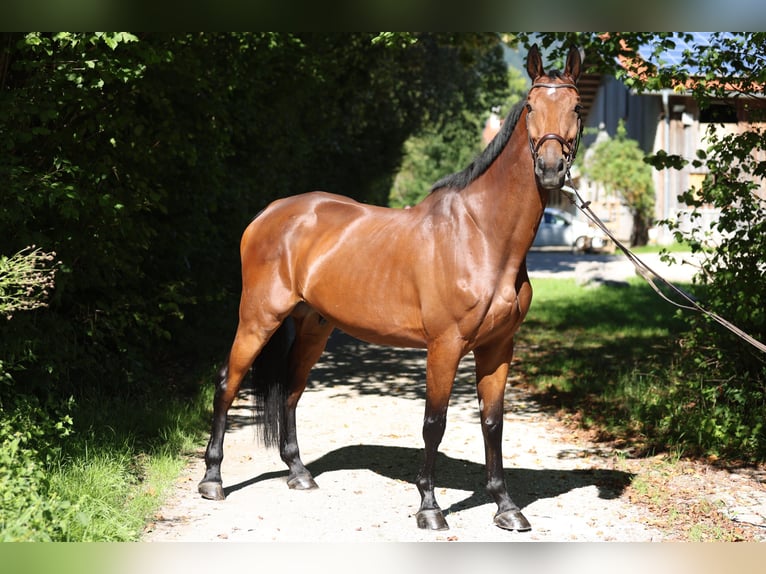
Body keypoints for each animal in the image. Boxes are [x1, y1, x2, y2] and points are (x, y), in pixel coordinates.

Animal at [198, 44, 583, 532]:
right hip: (258, 317)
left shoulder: (499, 346)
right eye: (531, 107)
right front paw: (429, 508)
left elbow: (492, 422)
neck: (481, 235)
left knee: (291, 389)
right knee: (226, 382)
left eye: (576, 107)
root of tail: (270, 213)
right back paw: (212, 480)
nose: (550, 169)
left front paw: (506, 507)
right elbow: (434, 423)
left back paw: (299, 473)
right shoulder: (444, 345)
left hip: (313, 325)